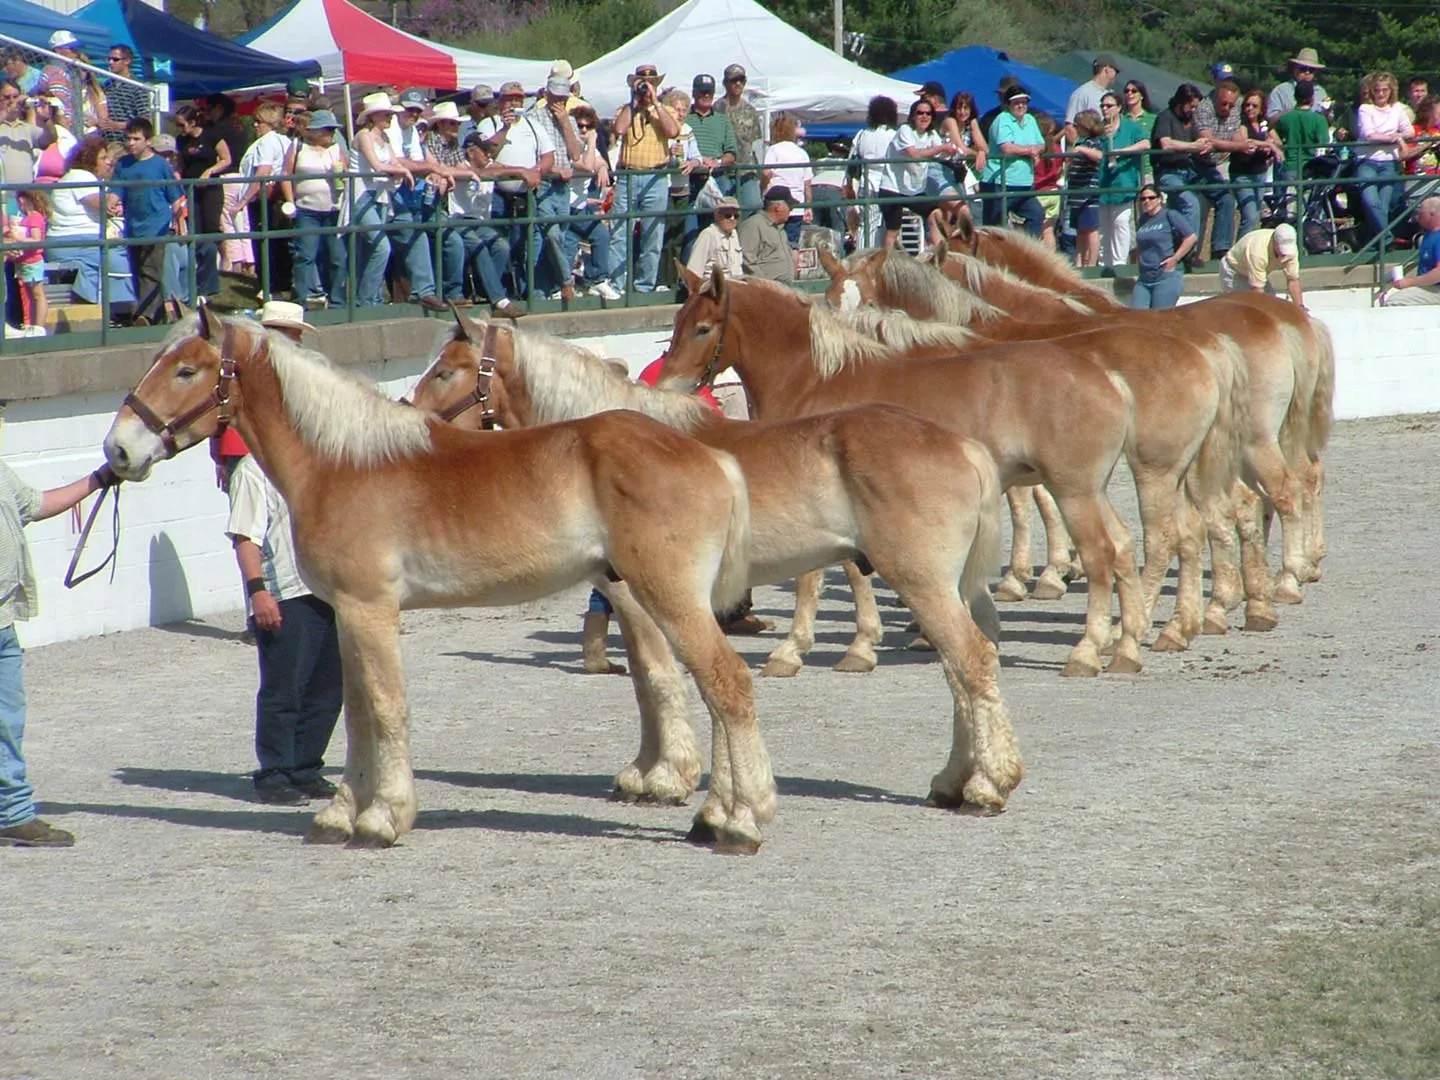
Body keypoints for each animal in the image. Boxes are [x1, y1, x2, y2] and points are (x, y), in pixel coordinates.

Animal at [100, 306, 777, 852]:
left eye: (186, 371)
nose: (118, 451)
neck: (340, 462)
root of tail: (710, 454)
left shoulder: (371, 609)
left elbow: (386, 708)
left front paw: (383, 818)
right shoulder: (346, 613)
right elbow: (356, 713)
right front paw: (341, 814)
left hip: (668, 597)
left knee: (728, 684)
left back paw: (742, 822)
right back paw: (717, 815)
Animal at [408, 312, 1025, 812]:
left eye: (446, 372)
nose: (409, 423)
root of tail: (960, 445)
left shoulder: (640, 597)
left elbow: (657, 678)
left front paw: (662, 777)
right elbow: (646, 680)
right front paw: (650, 773)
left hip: (922, 582)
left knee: (970, 661)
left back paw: (986, 785)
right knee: (962, 668)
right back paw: (954, 780)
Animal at [656, 267, 1146, 679]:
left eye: (703, 328)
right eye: (675, 323)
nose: (667, 387)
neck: (818, 378)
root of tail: (1105, 376)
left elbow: (823, 576)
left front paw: (811, 649)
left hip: (1074, 493)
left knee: (1100, 555)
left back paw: (1086, 651)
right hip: (1093, 492)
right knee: (1123, 547)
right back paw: (1126, 646)